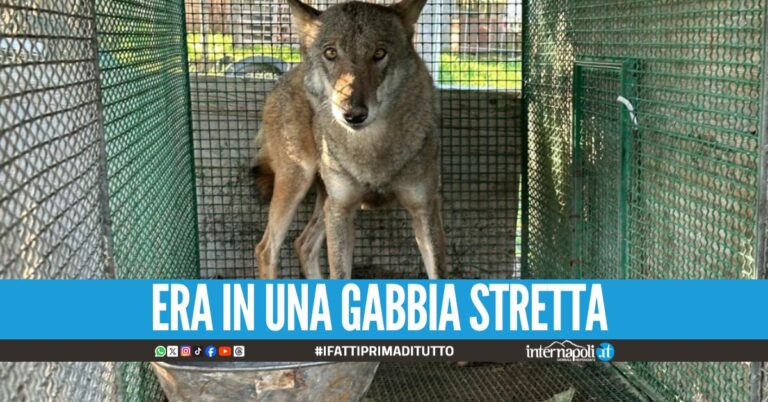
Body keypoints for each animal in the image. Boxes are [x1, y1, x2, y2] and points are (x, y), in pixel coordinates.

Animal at [252, 0, 446, 280]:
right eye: (331, 53)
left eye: (379, 53)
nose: (353, 114)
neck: (371, 150)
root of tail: (289, 73)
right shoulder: (341, 211)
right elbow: (340, 274)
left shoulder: (425, 209)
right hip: (299, 181)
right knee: (267, 248)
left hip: (324, 202)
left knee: (303, 244)